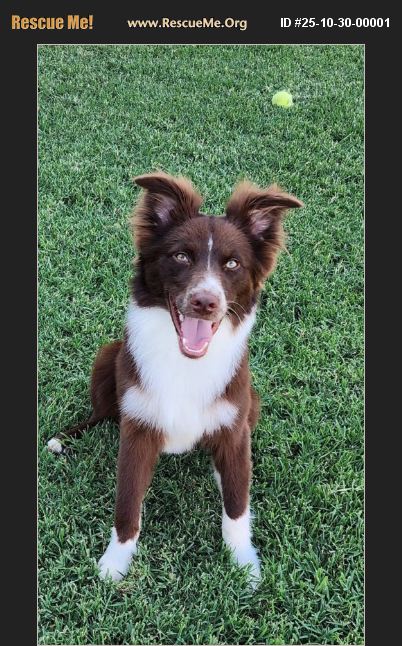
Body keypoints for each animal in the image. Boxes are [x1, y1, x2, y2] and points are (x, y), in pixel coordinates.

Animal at [47, 172, 302, 583]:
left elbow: (237, 502)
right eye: (181, 256)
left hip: (252, 402)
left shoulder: (234, 426)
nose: (205, 301)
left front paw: (244, 564)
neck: (186, 362)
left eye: (233, 263)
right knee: (100, 414)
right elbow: (127, 501)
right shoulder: (137, 428)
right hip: (107, 356)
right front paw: (115, 564)